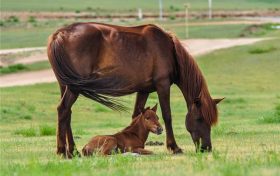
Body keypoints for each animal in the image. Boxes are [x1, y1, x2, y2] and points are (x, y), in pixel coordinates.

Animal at [47, 22, 224, 158]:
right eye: (199, 119)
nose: (207, 148)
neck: (169, 50)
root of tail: (59, 35)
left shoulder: (144, 90)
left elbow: (136, 115)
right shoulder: (163, 85)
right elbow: (167, 115)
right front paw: (174, 147)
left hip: (65, 86)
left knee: (67, 114)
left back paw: (73, 151)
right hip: (74, 87)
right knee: (63, 110)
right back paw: (62, 151)